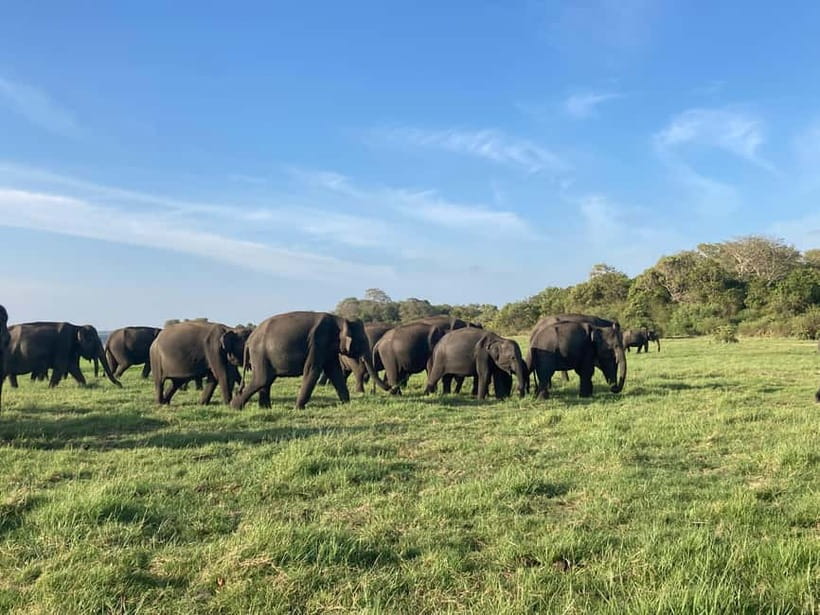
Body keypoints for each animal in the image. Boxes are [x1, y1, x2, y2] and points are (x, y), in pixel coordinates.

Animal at [230, 311, 389, 410]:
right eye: (362, 340)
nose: (391, 388)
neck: (339, 319)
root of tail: (249, 340)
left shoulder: (328, 348)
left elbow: (334, 371)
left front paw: (346, 403)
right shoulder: (317, 342)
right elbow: (312, 370)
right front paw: (298, 408)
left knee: (267, 380)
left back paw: (265, 408)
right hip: (259, 354)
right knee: (262, 379)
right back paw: (234, 406)